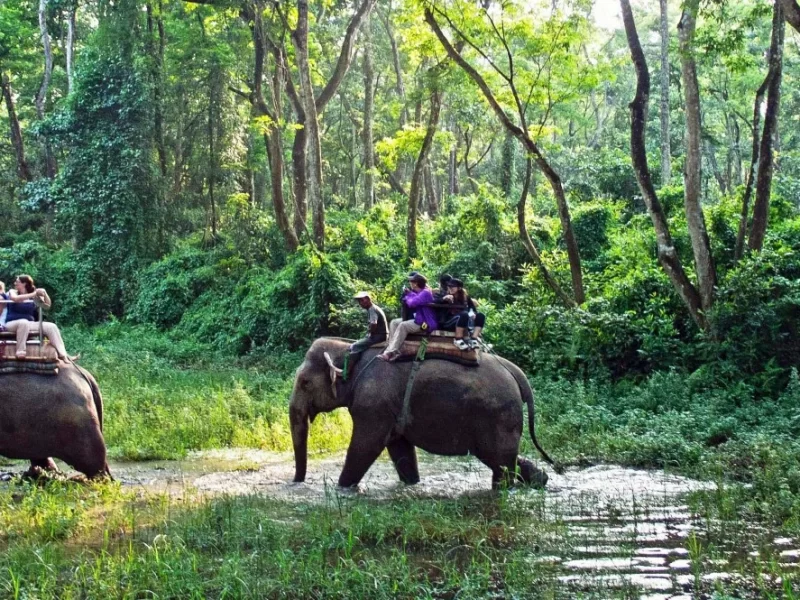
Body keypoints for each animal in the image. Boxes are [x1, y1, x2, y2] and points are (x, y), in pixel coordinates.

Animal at [290, 338, 560, 488]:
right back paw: (541, 480)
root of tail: (517, 374)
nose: (297, 482)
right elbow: (399, 448)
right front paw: (412, 484)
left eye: (304, 383)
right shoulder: (388, 407)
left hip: (497, 416)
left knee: (500, 463)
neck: (350, 350)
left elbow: (366, 445)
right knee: (503, 459)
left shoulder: (373, 404)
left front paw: (343, 489)